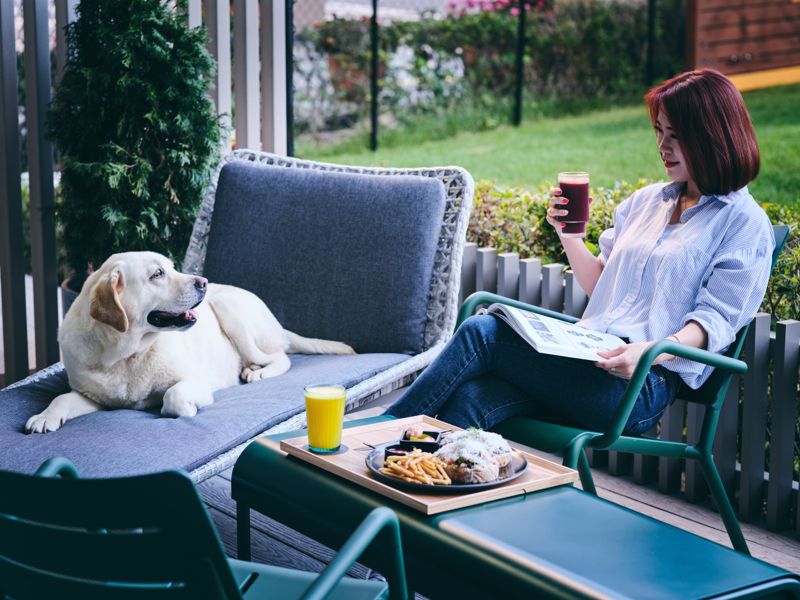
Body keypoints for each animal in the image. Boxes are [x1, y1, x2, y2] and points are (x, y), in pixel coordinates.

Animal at [25, 251, 354, 434]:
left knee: (280, 357)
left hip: (229, 307)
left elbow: (174, 396)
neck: (124, 355)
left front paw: (180, 408)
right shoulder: (93, 398)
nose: (203, 281)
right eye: (157, 273)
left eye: (172, 267)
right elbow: (61, 398)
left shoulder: (195, 381)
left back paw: (257, 372)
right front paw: (43, 417)